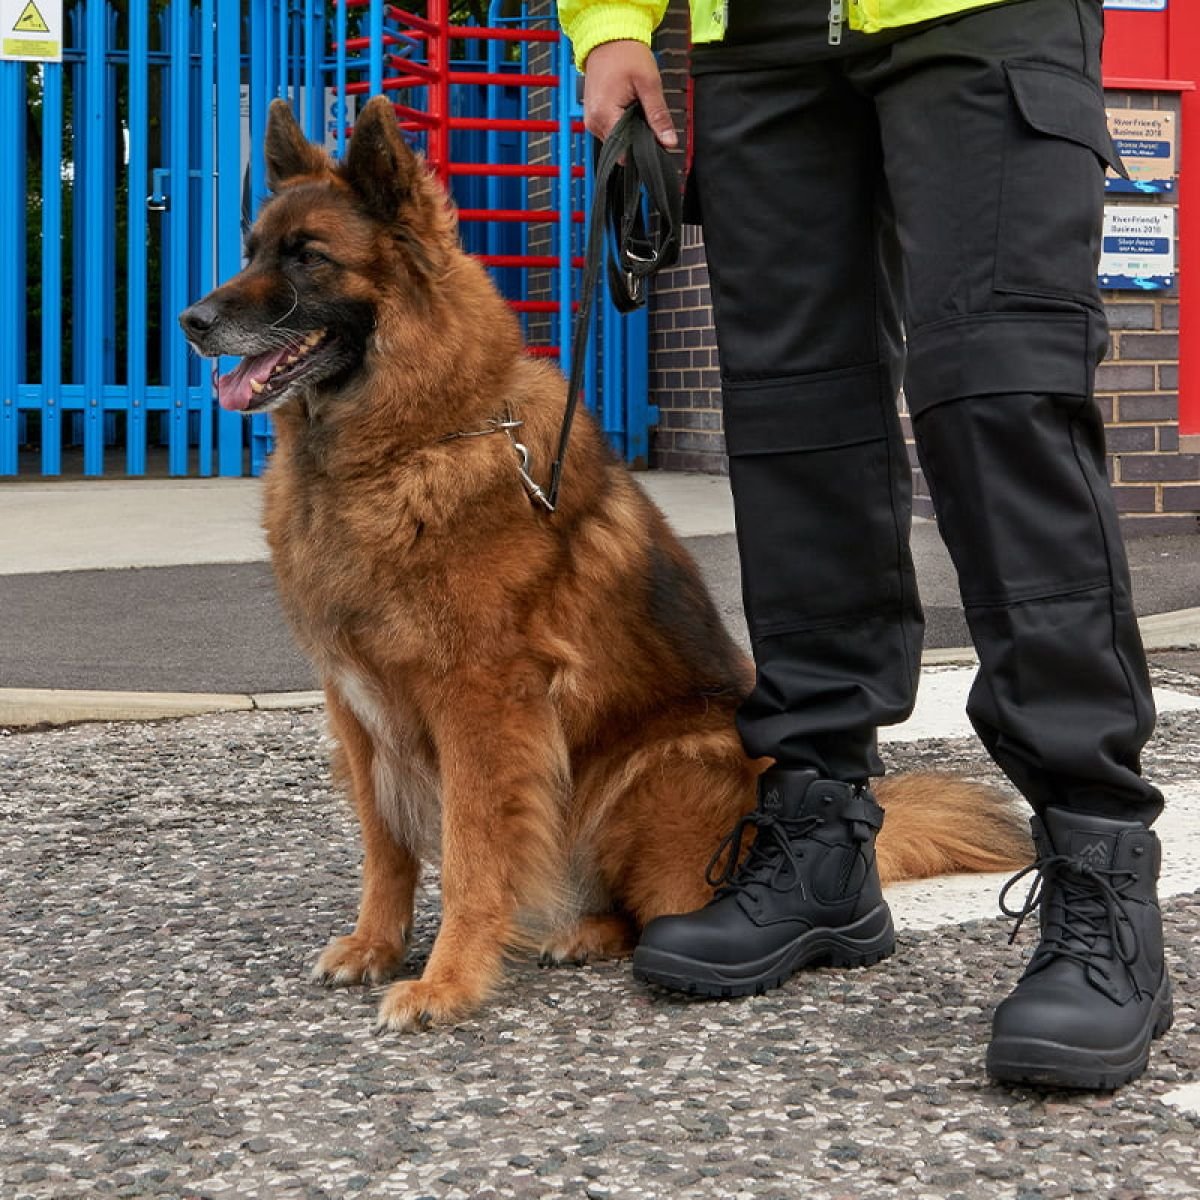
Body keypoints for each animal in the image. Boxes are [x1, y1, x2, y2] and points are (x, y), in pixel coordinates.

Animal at [180, 96, 1032, 1032]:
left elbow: (473, 850)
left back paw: (598, 931)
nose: (192, 321)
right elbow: (386, 845)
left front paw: (449, 978)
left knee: (661, 909)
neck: (409, 443)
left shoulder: (480, 705)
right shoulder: (357, 708)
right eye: (254, 249)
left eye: (310, 257)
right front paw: (376, 944)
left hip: (652, 775)